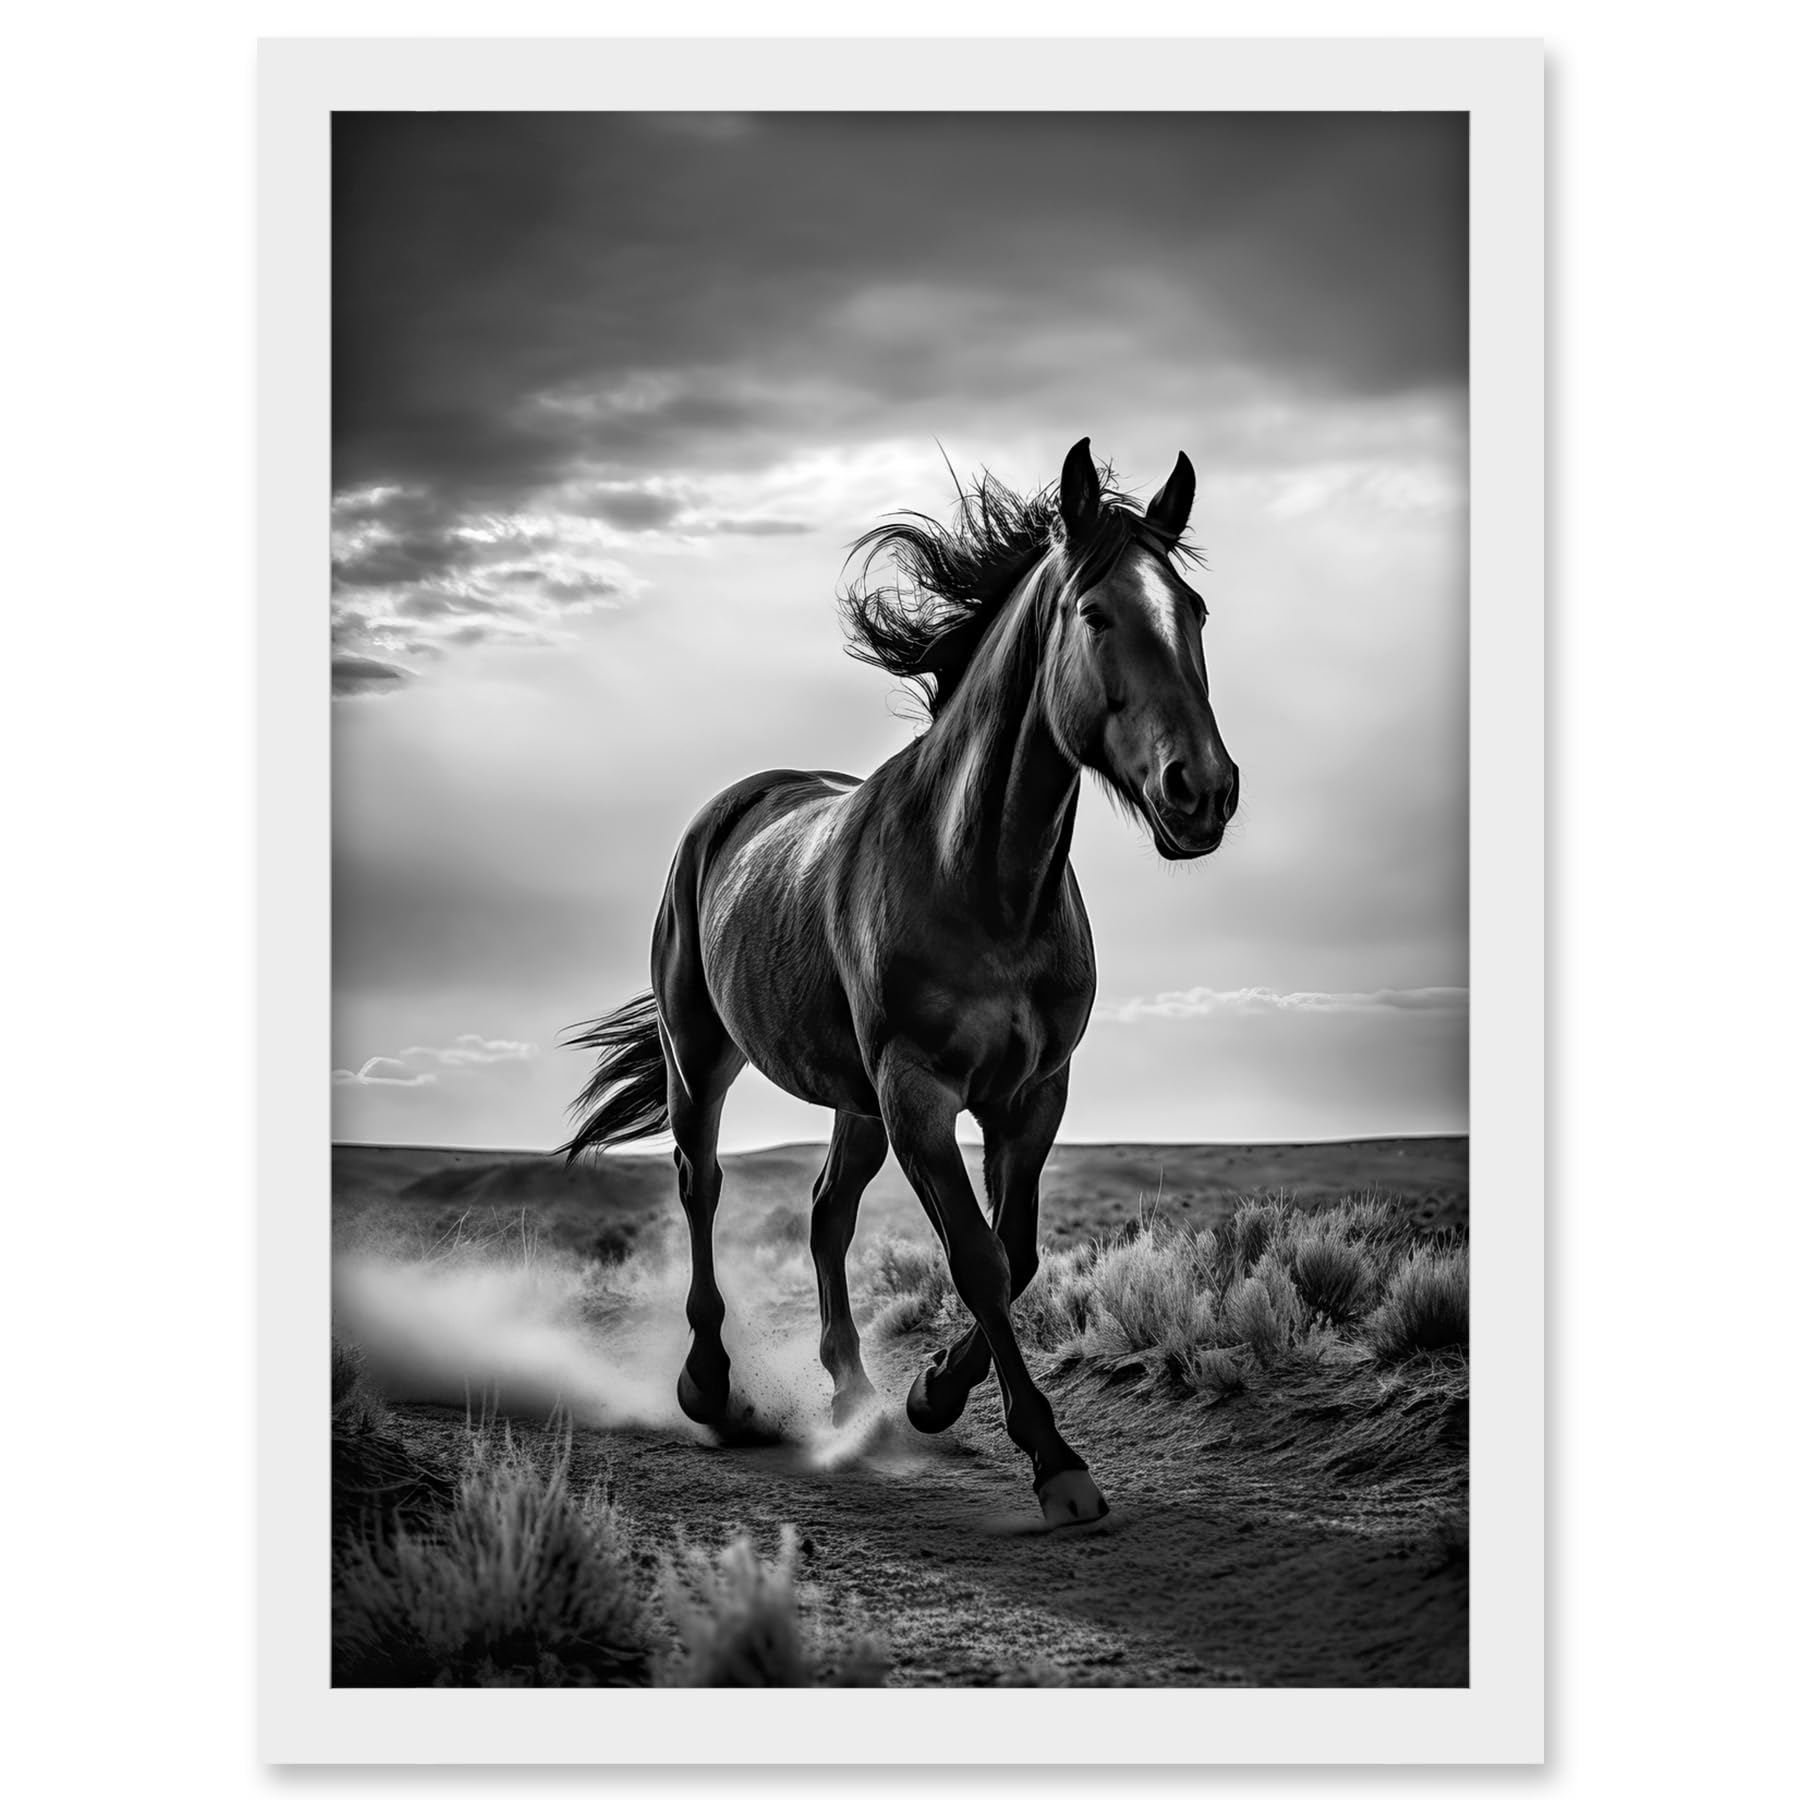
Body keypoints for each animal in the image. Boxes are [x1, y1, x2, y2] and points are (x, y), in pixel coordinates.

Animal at [562, 438, 1238, 1526]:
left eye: (1197, 612)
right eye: (1097, 614)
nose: (1204, 792)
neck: (983, 880)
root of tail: (727, 810)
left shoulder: (1030, 1096)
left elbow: (1020, 1254)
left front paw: (931, 1393)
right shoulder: (919, 1092)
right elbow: (978, 1259)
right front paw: (1053, 1459)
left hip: (852, 1101)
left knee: (826, 1213)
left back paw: (854, 1396)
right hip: (703, 1057)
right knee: (702, 1185)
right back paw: (710, 1386)